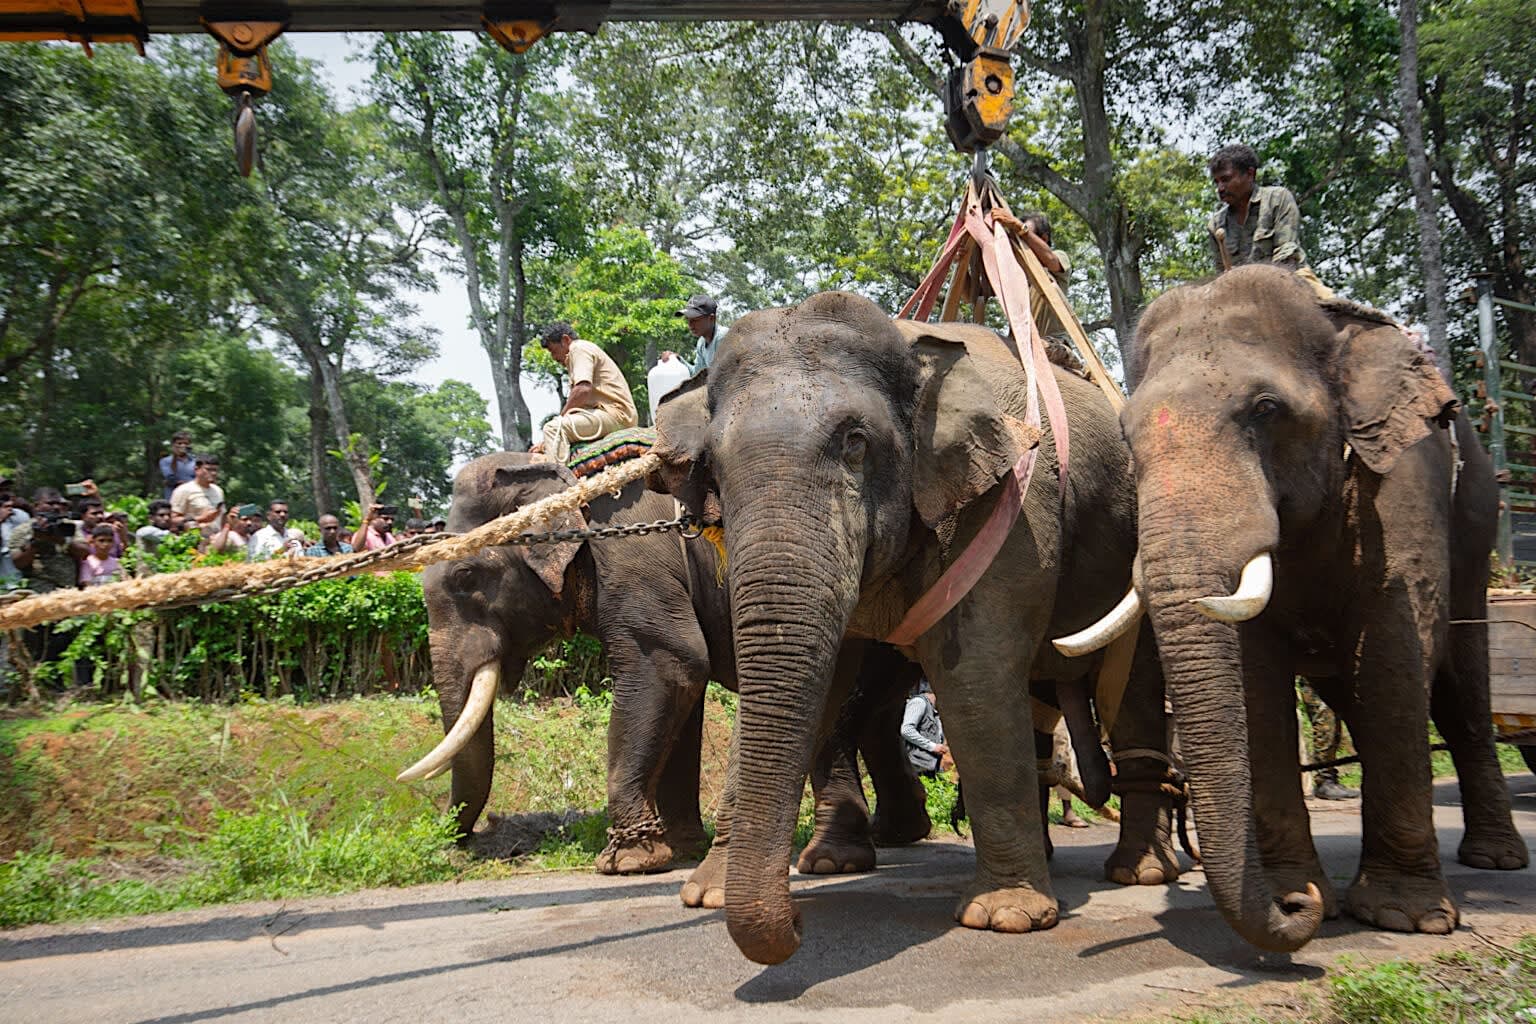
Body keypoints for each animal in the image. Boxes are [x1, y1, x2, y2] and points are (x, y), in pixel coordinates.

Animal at [400, 451, 933, 875]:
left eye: (467, 576)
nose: (464, 845)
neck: (565, 474)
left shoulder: (633, 562)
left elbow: (671, 666)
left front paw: (628, 863)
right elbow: (685, 690)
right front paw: (681, 848)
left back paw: (833, 860)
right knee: (876, 710)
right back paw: (895, 834)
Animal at [649, 291, 1179, 965]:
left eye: (855, 442)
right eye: (712, 467)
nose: (798, 922)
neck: (909, 343)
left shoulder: (1010, 502)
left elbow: (975, 674)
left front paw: (1004, 917)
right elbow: (817, 679)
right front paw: (705, 895)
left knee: (1133, 696)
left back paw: (1139, 872)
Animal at [1070, 264, 1528, 951]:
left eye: (1267, 410)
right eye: (1125, 434)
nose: (1296, 907)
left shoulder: (1404, 473)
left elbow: (1395, 648)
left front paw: (1403, 917)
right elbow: (1257, 677)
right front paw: (1305, 892)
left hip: (1474, 520)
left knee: (1461, 690)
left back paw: (1494, 860)